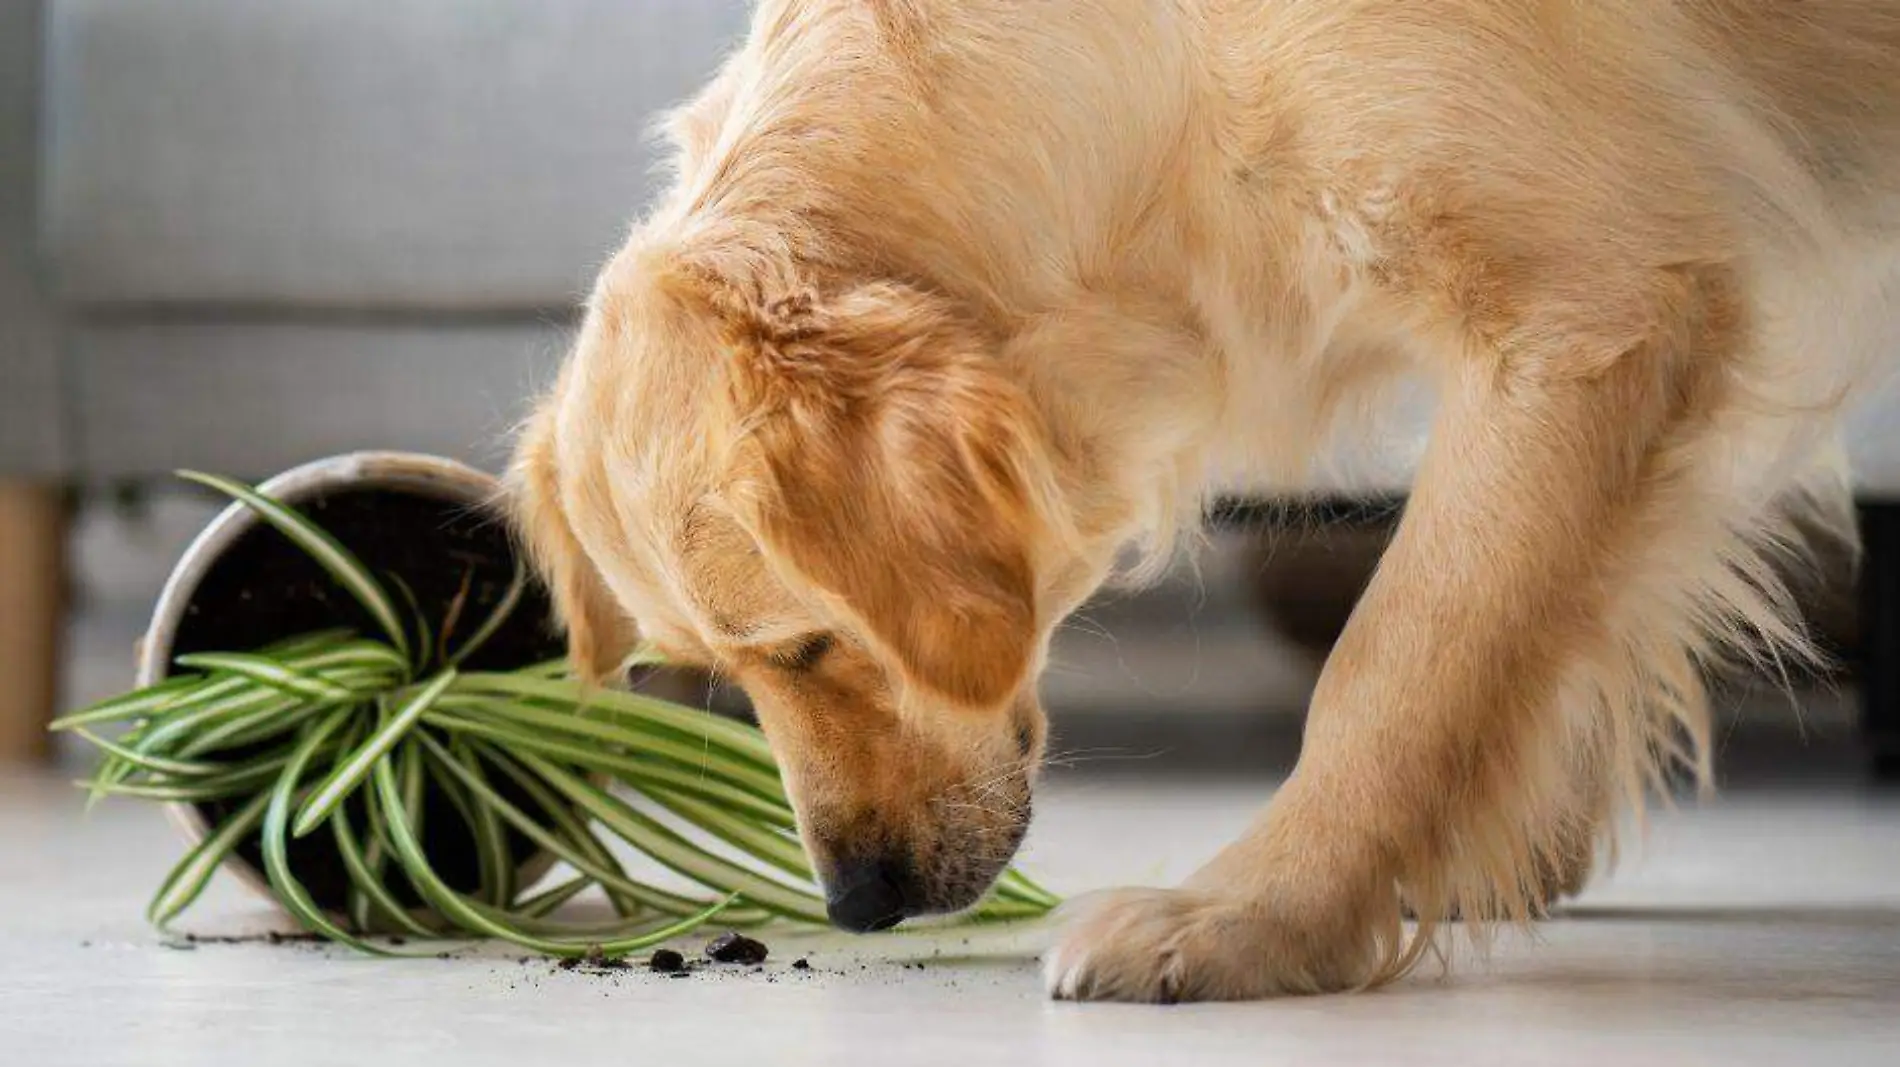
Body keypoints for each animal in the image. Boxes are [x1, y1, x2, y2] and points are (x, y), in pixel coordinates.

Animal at [505, 0, 1900, 994]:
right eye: (718, 670)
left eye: (809, 644)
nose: (855, 900)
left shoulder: (1589, 312)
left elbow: (1401, 658)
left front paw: (1256, 917)